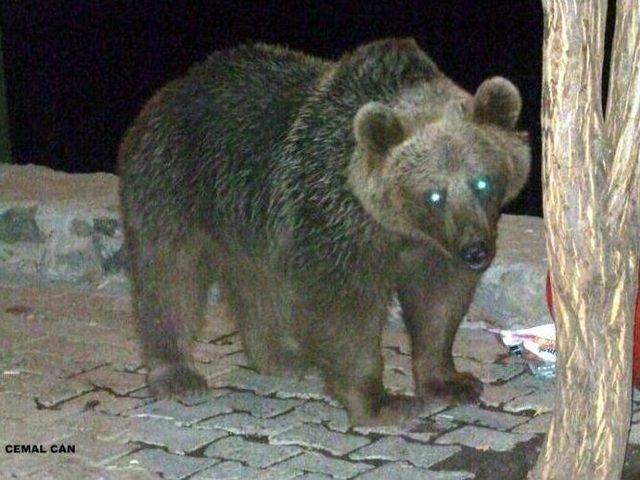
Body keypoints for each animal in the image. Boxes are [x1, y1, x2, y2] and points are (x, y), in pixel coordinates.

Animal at [119, 39, 528, 426]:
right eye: (434, 193)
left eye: (482, 181)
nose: (476, 251)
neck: (397, 225)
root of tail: (172, 90)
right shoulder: (335, 217)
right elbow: (345, 310)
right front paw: (380, 402)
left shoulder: (433, 245)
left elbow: (439, 302)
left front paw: (451, 381)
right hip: (176, 185)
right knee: (171, 279)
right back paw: (177, 374)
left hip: (256, 224)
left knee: (262, 286)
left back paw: (283, 355)